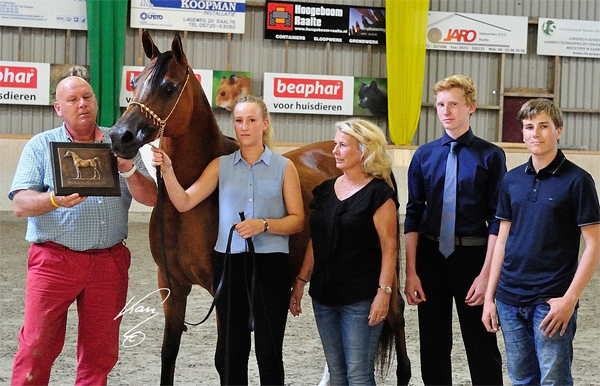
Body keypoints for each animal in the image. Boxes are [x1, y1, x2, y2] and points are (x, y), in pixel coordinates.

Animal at [108, 30, 410, 386]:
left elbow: (223, 359)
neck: (190, 202)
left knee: (394, 311)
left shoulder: (223, 290)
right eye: (135, 81)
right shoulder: (172, 287)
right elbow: (168, 354)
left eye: (168, 87)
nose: (120, 136)